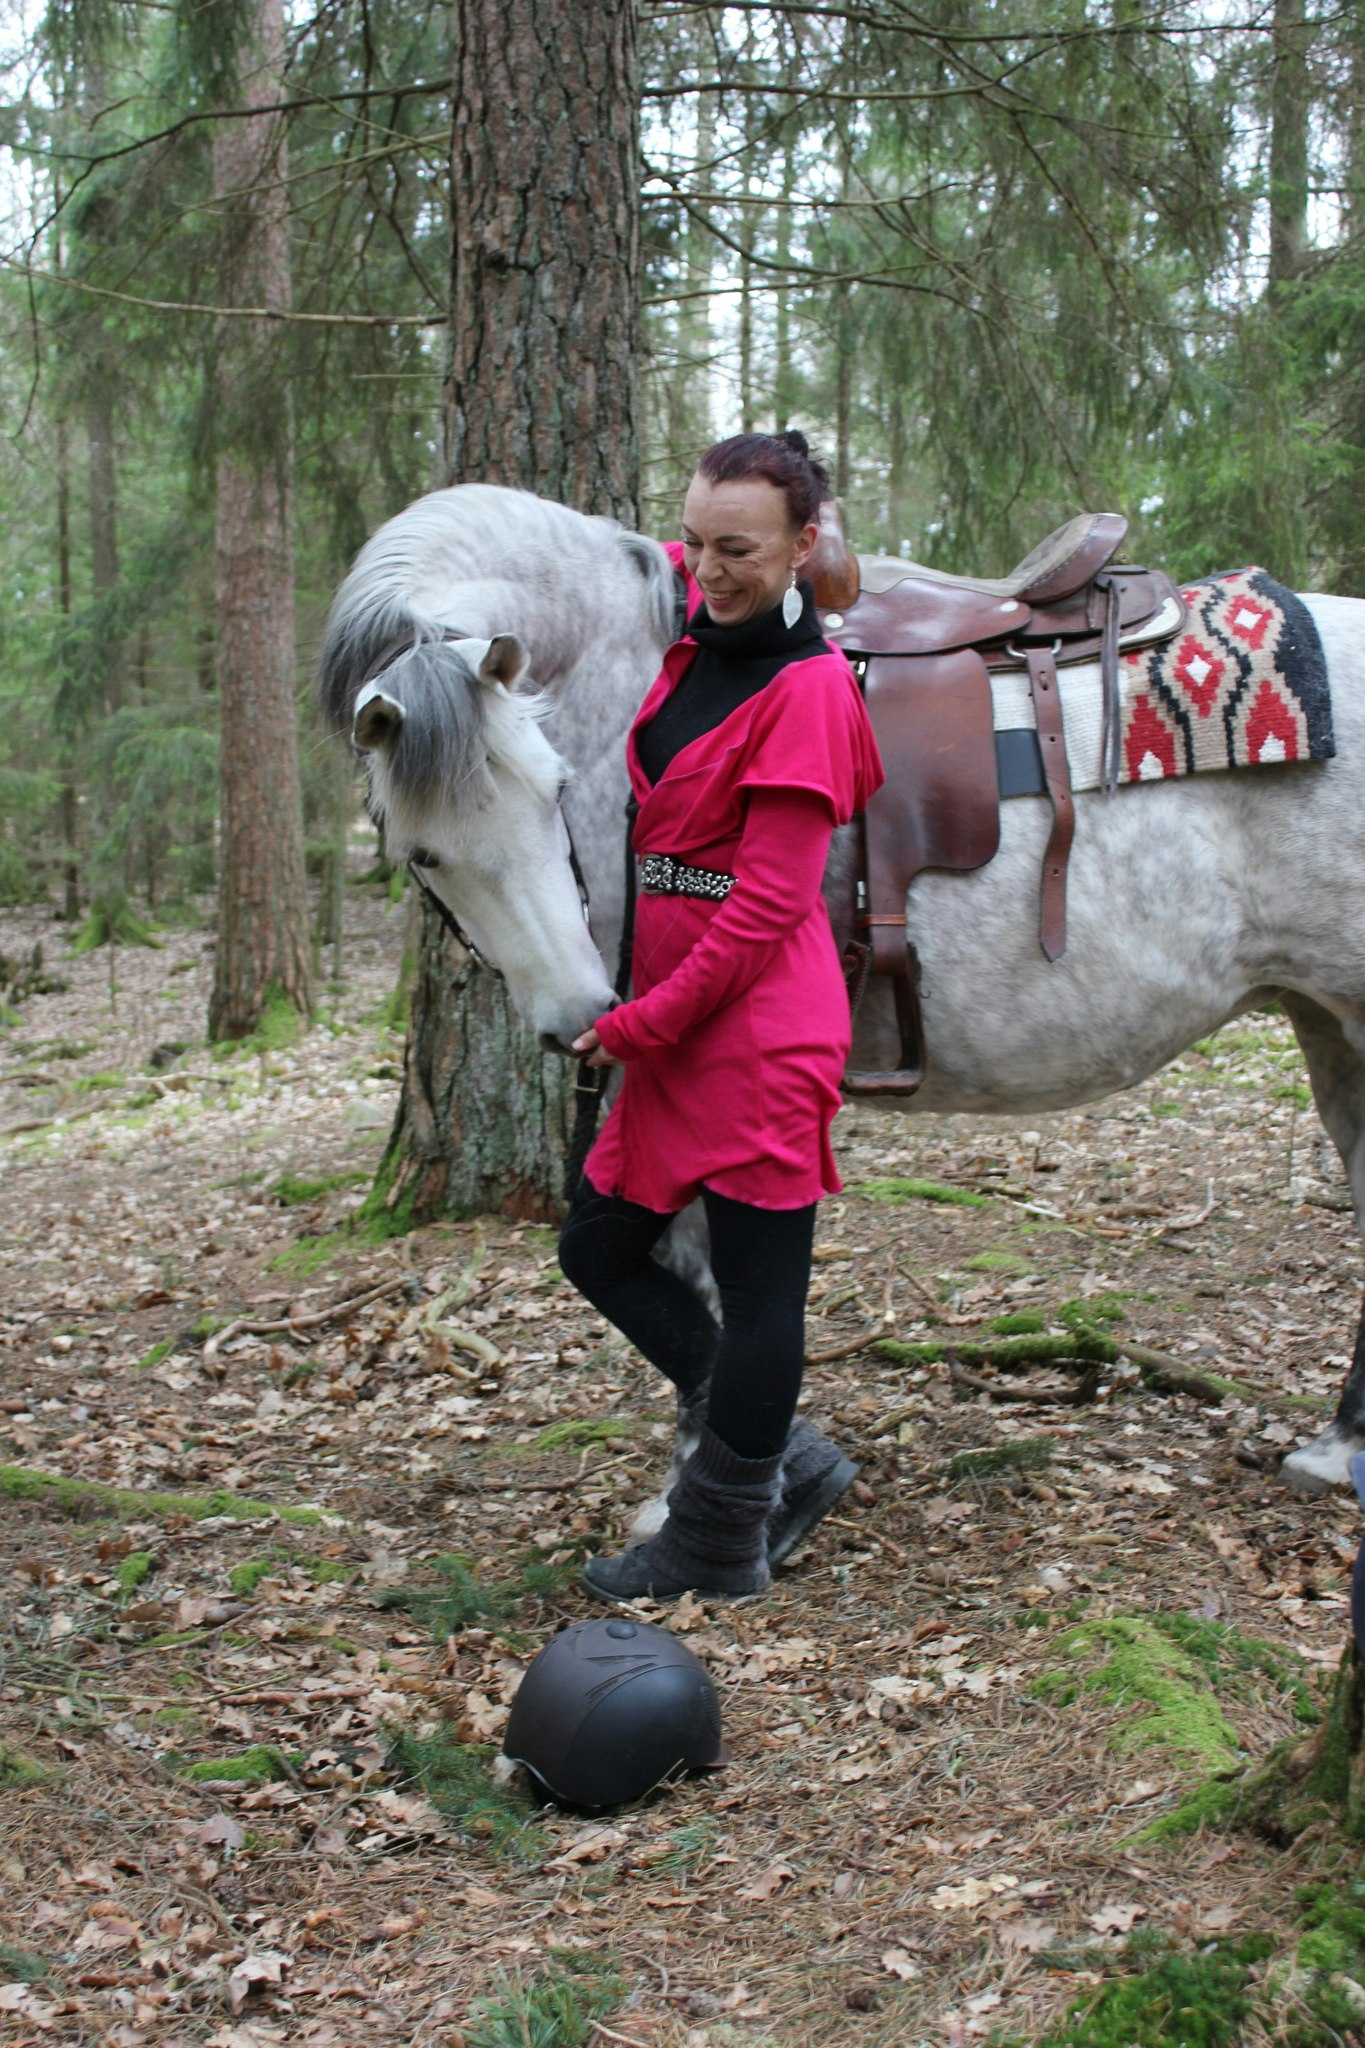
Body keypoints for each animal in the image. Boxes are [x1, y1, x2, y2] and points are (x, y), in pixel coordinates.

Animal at [323, 485, 1365, 1499]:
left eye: (551, 787)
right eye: (425, 853)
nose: (580, 1015)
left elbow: (694, 1266)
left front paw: (698, 1479)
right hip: (1326, 1020)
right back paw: (1338, 1443)